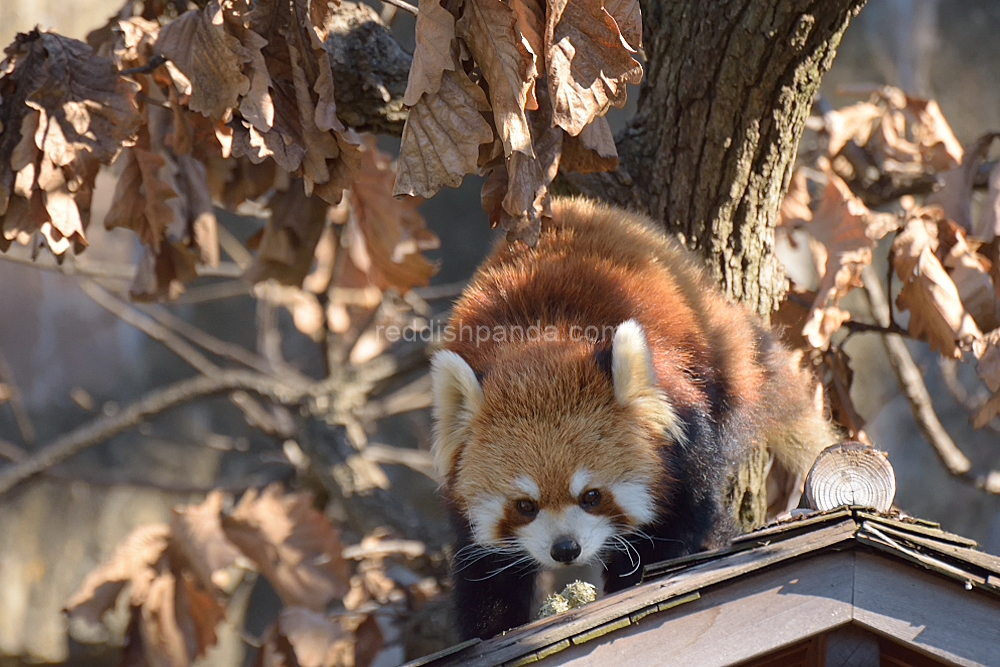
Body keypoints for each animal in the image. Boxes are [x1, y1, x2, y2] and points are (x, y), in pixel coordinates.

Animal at [430, 198, 836, 640]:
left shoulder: (684, 428)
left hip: (721, 365)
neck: (542, 345)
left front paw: (638, 572)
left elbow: (684, 514)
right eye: (524, 505)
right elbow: (484, 566)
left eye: (592, 496)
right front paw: (492, 625)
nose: (565, 549)